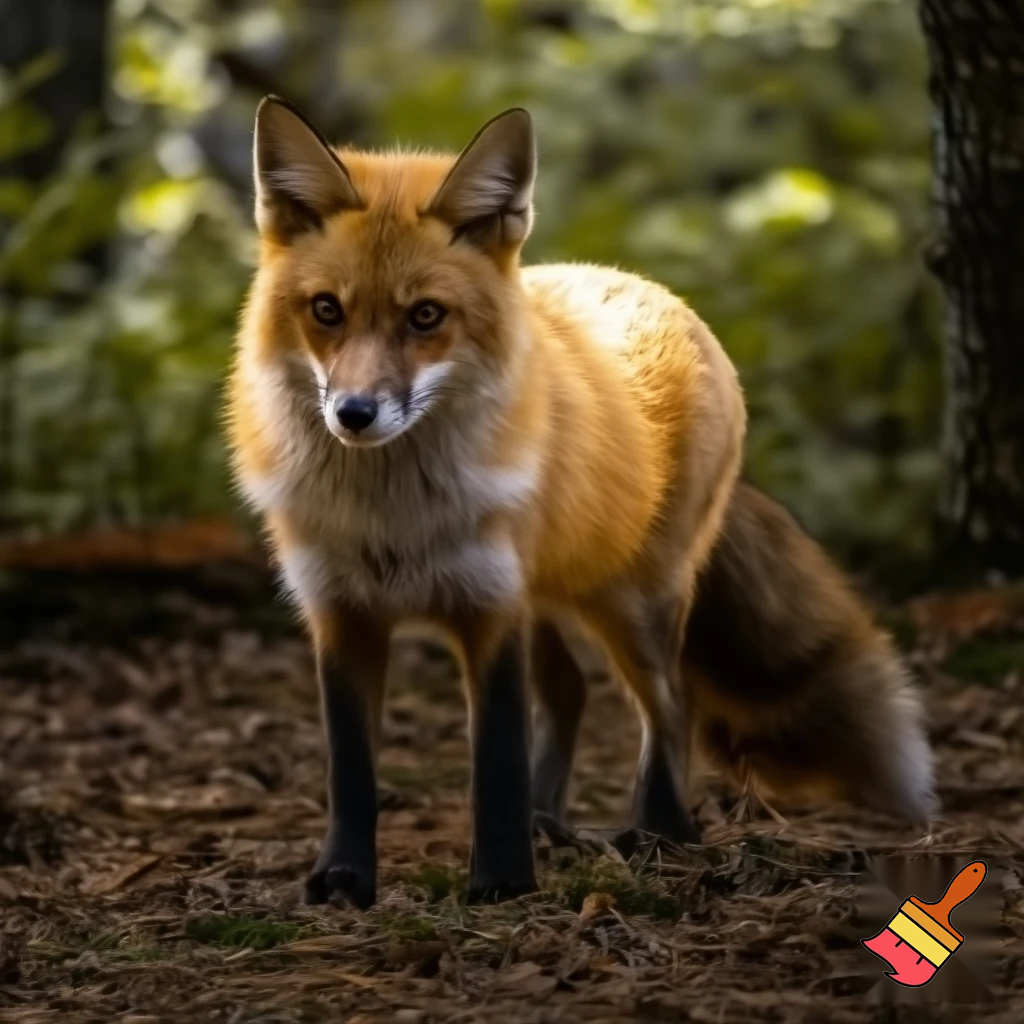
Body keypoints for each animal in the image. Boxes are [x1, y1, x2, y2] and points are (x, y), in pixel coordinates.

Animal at [226, 96, 936, 909]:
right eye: (326, 310)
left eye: (426, 317)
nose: (354, 413)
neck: (392, 516)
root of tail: (649, 287)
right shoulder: (341, 612)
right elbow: (350, 769)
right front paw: (344, 878)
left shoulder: (488, 607)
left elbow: (496, 760)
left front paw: (503, 882)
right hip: (550, 598)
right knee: (569, 694)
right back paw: (551, 822)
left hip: (632, 603)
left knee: (671, 704)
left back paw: (661, 833)